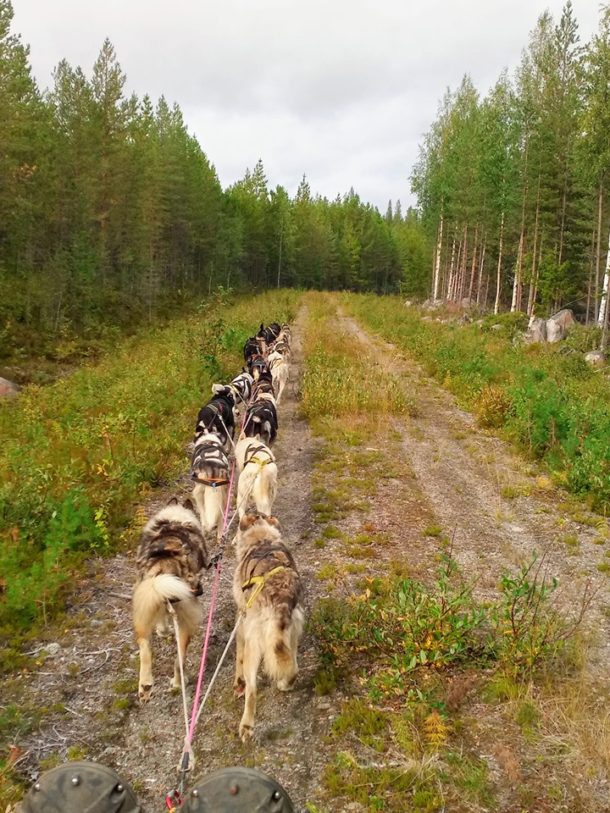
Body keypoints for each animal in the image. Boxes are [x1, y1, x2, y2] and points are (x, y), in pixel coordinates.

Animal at [132, 498, 208, 700]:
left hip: (143, 610)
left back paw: (145, 684)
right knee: (179, 659)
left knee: (145, 648)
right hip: (185, 623)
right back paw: (178, 682)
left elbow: (161, 619)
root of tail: (163, 566)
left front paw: (162, 630)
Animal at [230, 516, 304, 740]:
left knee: (252, 689)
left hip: (254, 643)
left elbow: (238, 656)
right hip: (291, 634)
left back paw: (246, 725)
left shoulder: (242, 623)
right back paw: (285, 684)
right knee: (293, 668)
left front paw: (238, 683)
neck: (262, 539)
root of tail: (280, 598)